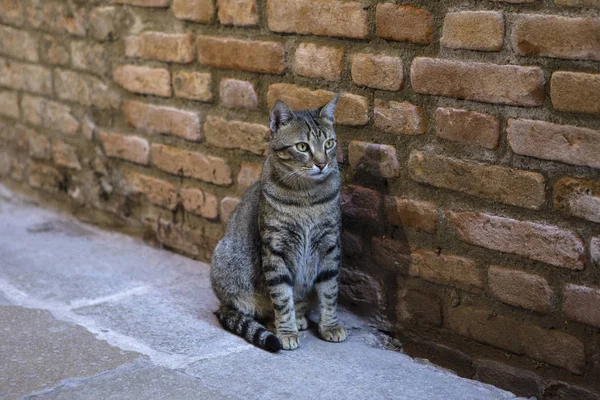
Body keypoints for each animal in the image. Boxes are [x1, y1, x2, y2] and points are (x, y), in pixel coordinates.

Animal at [212, 95, 346, 352]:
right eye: (302, 147)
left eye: (329, 143)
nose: (322, 163)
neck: (307, 198)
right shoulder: (275, 249)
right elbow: (282, 297)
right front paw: (286, 332)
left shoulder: (329, 245)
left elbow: (330, 291)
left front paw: (331, 325)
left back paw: (301, 317)